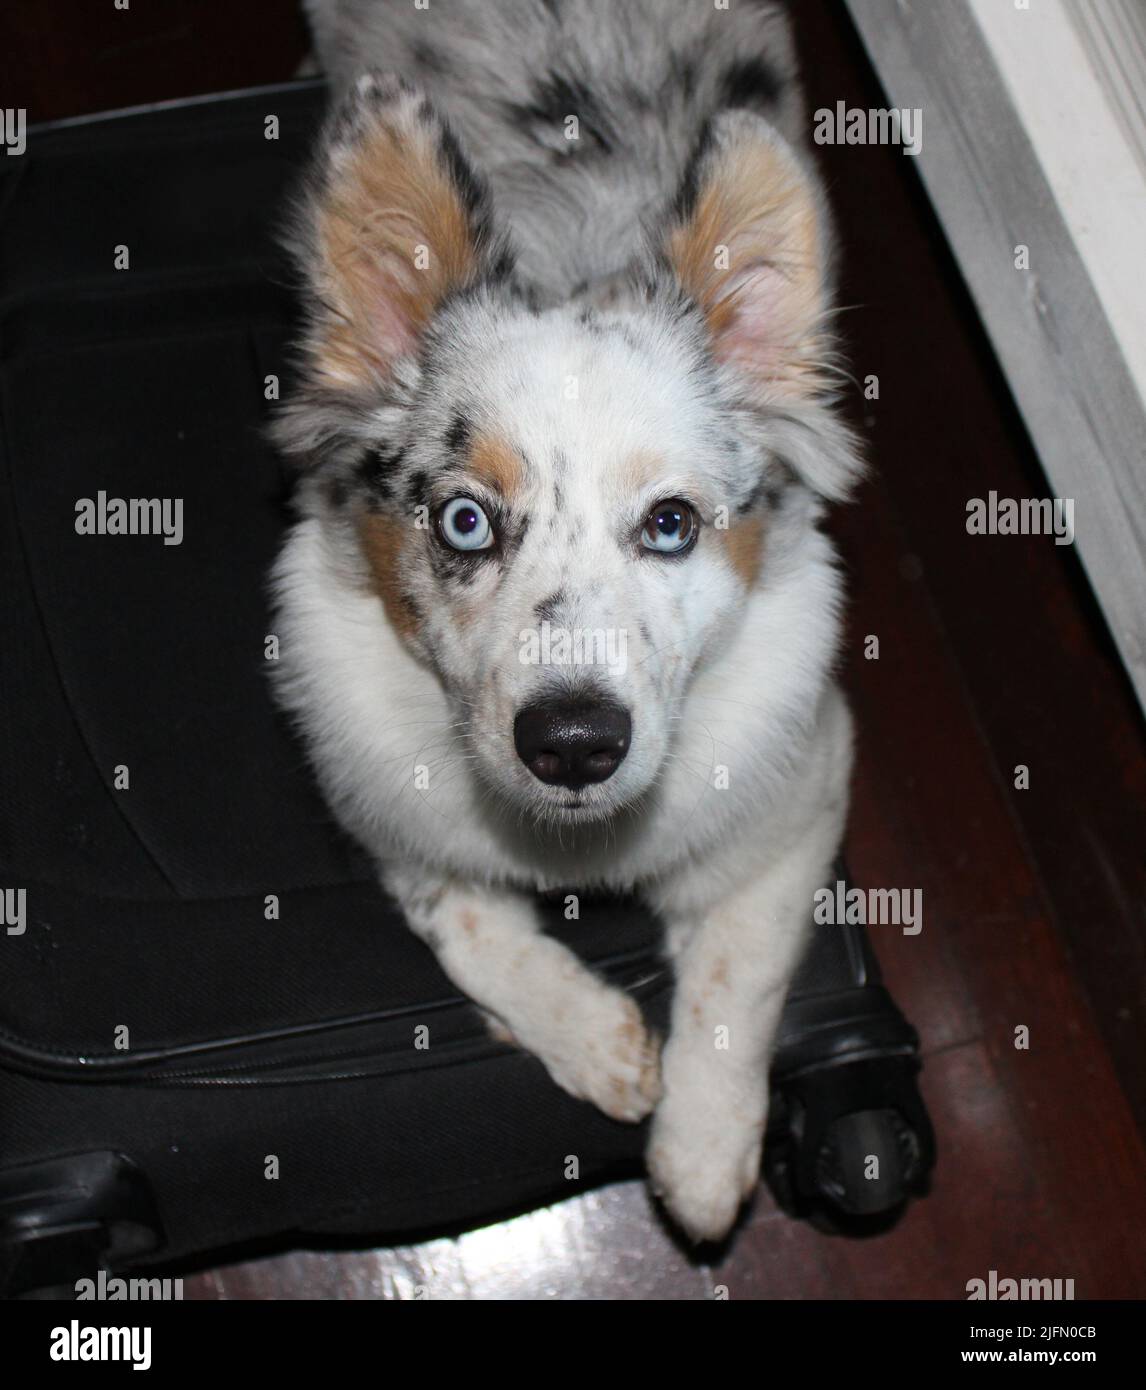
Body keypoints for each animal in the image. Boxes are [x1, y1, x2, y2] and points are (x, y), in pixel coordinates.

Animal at [271, 0, 856, 1239]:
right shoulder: (380, 797)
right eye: (464, 519)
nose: (575, 743)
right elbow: (470, 926)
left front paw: (701, 1157)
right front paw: (602, 1047)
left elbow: (737, 976)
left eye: (672, 523)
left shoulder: (802, 792)